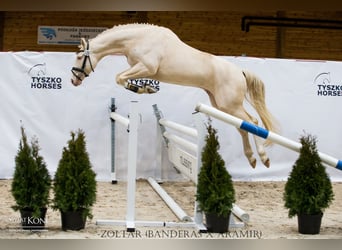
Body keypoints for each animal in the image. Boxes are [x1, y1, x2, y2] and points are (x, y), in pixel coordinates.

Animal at [71, 23, 278, 168]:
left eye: (80, 57)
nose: (74, 80)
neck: (138, 39)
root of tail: (239, 71)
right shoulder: (140, 69)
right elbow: (121, 78)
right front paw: (145, 88)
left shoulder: (146, 67)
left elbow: (120, 78)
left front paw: (144, 89)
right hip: (221, 105)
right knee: (243, 127)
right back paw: (252, 159)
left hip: (230, 105)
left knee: (253, 122)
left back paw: (264, 158)